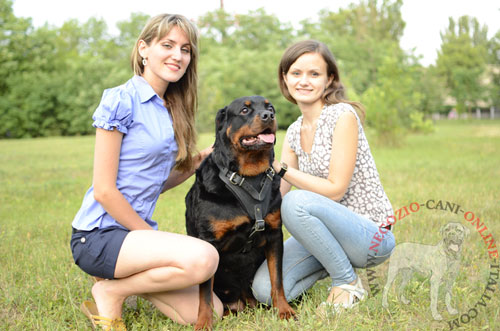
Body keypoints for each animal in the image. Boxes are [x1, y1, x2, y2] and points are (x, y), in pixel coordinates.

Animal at [188, 95, 296, 330]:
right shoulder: (209, 242)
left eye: (270, 107)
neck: (249, 177)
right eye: (245, 110)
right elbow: (205, 294)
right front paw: (204, 322)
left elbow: (277, 279)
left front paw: (284, 310)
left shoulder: (274, 234)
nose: (268, 116)